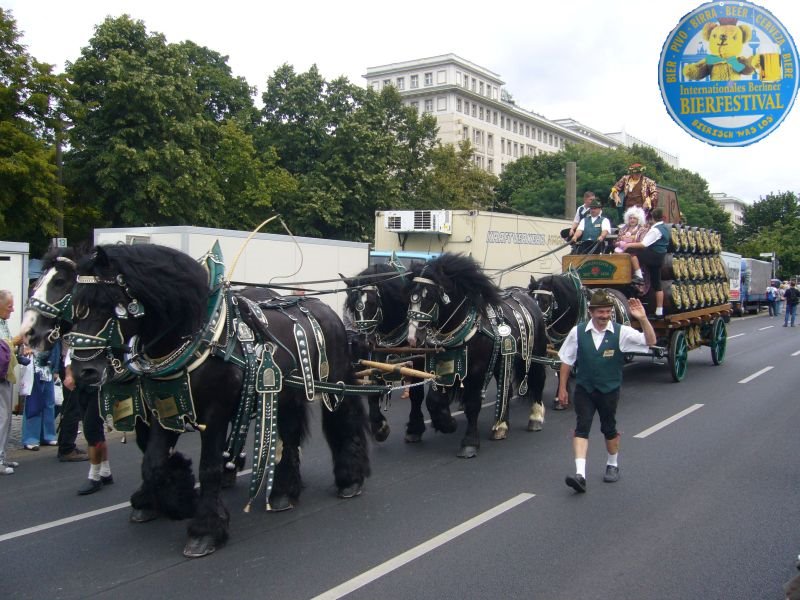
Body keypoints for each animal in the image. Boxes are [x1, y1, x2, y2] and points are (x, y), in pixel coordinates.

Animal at [66, 244, 372, 556]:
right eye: (76, 305)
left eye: (111, 303)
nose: (82, 371)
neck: (200, 335)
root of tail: (327, 310)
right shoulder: (166, 408)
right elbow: (153, 463)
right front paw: (178, 501)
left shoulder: (215, 414)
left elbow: (209, 468)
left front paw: (205, 529)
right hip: (288, 395)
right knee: (290, 436)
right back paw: (283, 492)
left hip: (334, 383)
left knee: (343, 422)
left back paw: (349, 479)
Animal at [406, 254, 552, 460]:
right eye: (411, 295)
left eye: (431, 295)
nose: (413, 338)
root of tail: (526, 297)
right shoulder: (444, 367)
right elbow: (433, 400)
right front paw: (447, 423)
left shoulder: (477, 372)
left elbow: (473, 404)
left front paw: (469, 443)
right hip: (503, 360)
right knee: (506, 389)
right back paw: (501, 425)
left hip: (533, 354)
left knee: (538, 379)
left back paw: (535, 417)